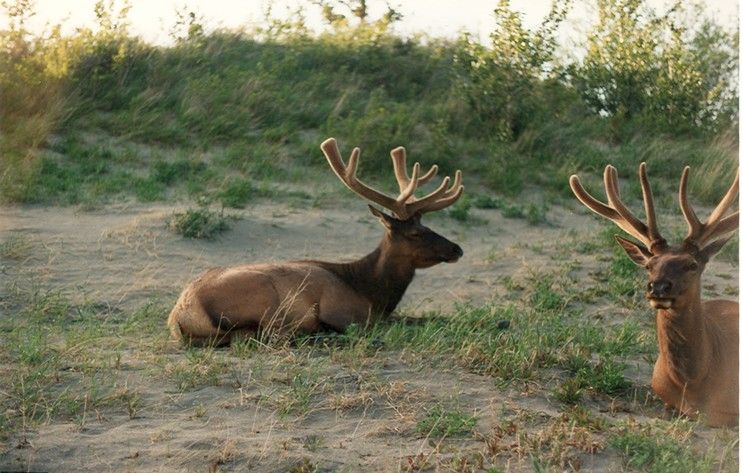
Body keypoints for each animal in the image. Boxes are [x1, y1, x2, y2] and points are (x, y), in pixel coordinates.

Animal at [169, 136, 464, 346]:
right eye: (415, 233)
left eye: (427, 225)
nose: (457, 249)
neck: (371, 291)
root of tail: (181, 316)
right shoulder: (343, 312)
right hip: (267, 297)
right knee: (273, 335)